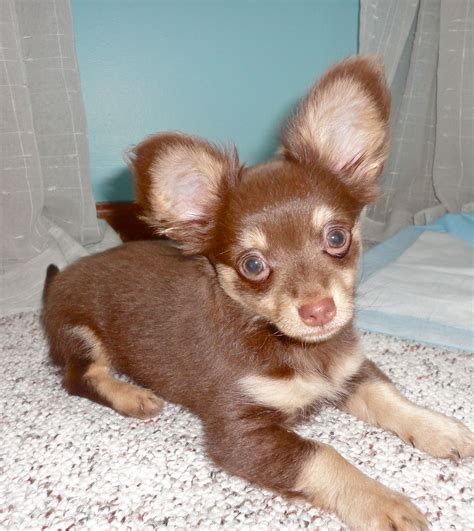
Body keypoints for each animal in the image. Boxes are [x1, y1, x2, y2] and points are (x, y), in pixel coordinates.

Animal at [42, 56, 472, 528]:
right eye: (252, 265)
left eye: (337, 238)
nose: (319, 310)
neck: (293, 346)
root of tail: (57, 279)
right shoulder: (239, 432)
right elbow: (324, 457)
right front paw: (384, 502)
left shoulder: (350, 372)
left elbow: (389, 397)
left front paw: (440, 427)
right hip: (81, 332)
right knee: (78, 376)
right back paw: (131, 395)